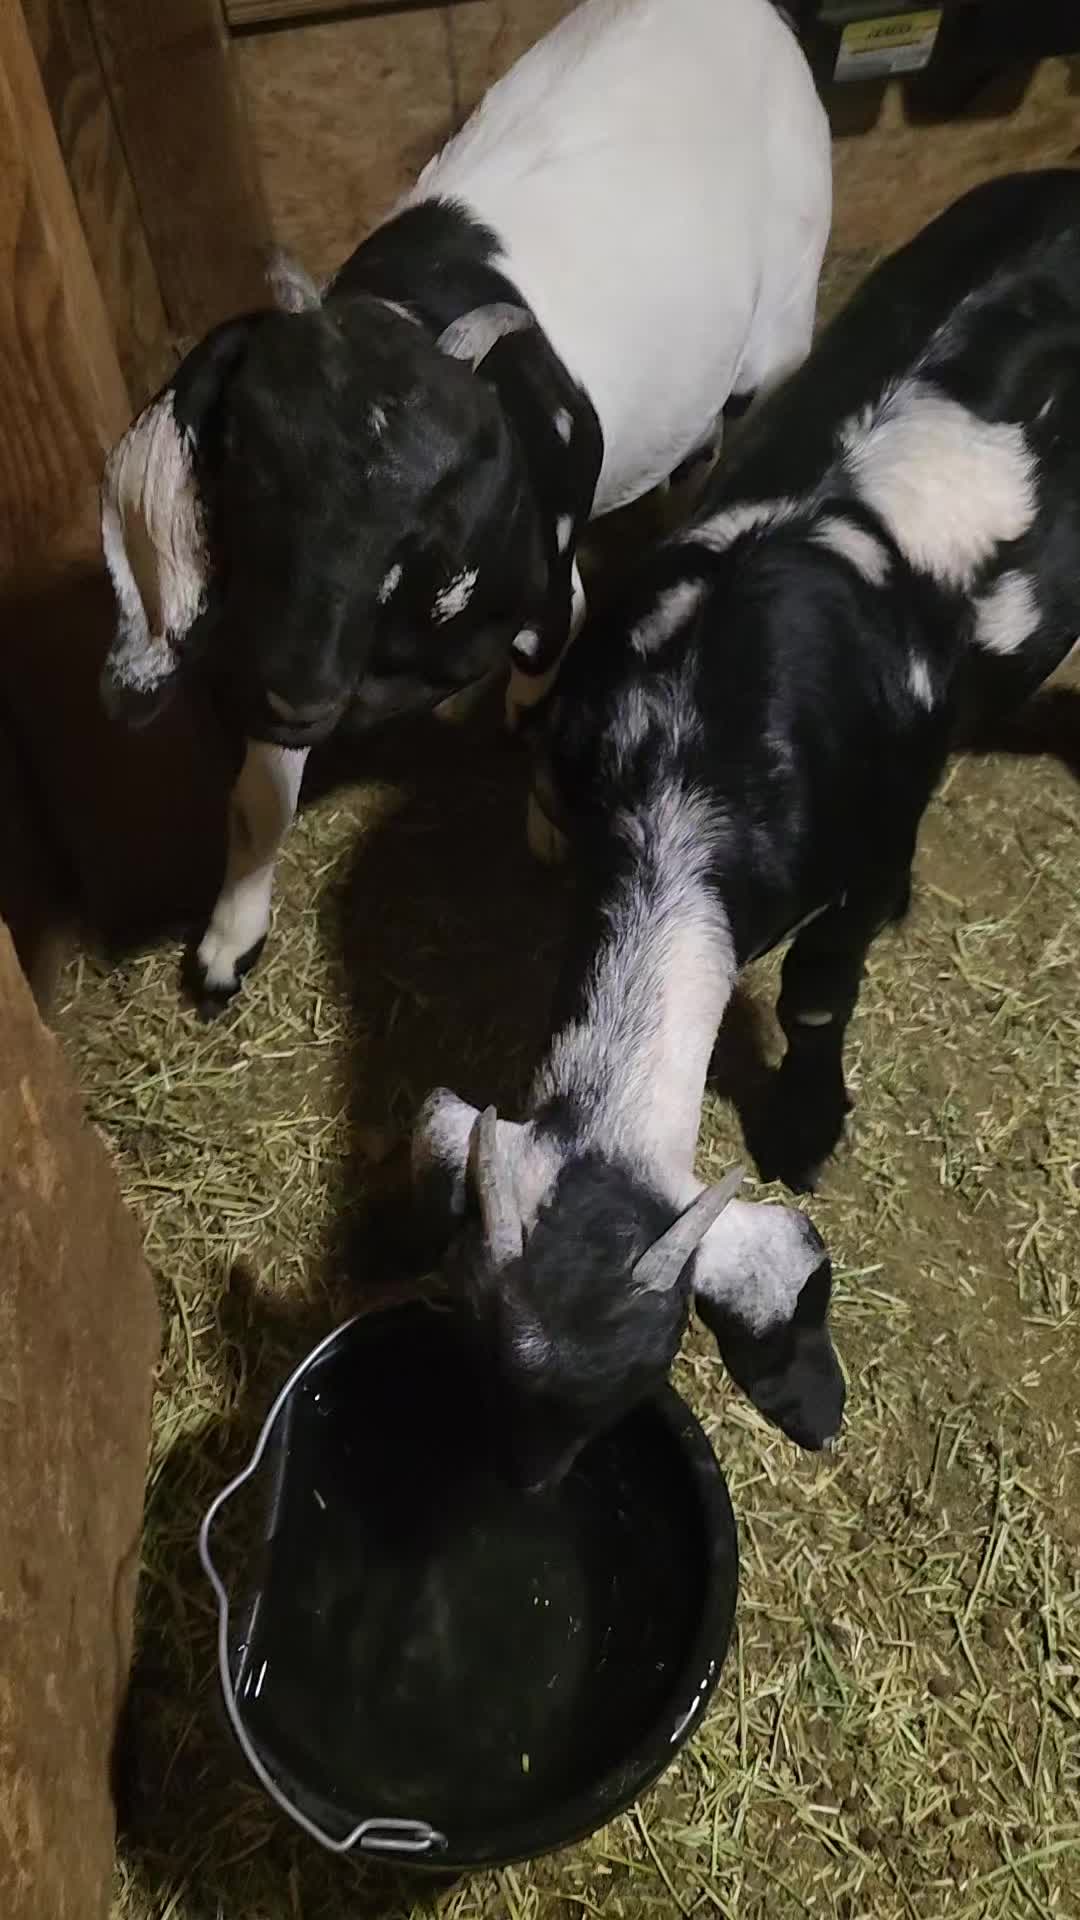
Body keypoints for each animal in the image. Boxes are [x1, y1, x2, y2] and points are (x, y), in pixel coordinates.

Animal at [97, 0, 830, 1014]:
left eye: (422, 513)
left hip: (780, 327)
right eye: (247, 467)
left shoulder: (543, 578)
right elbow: (259, 794)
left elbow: (548, 669)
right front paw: (225, 942)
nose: (297, 689)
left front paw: (547, 816)